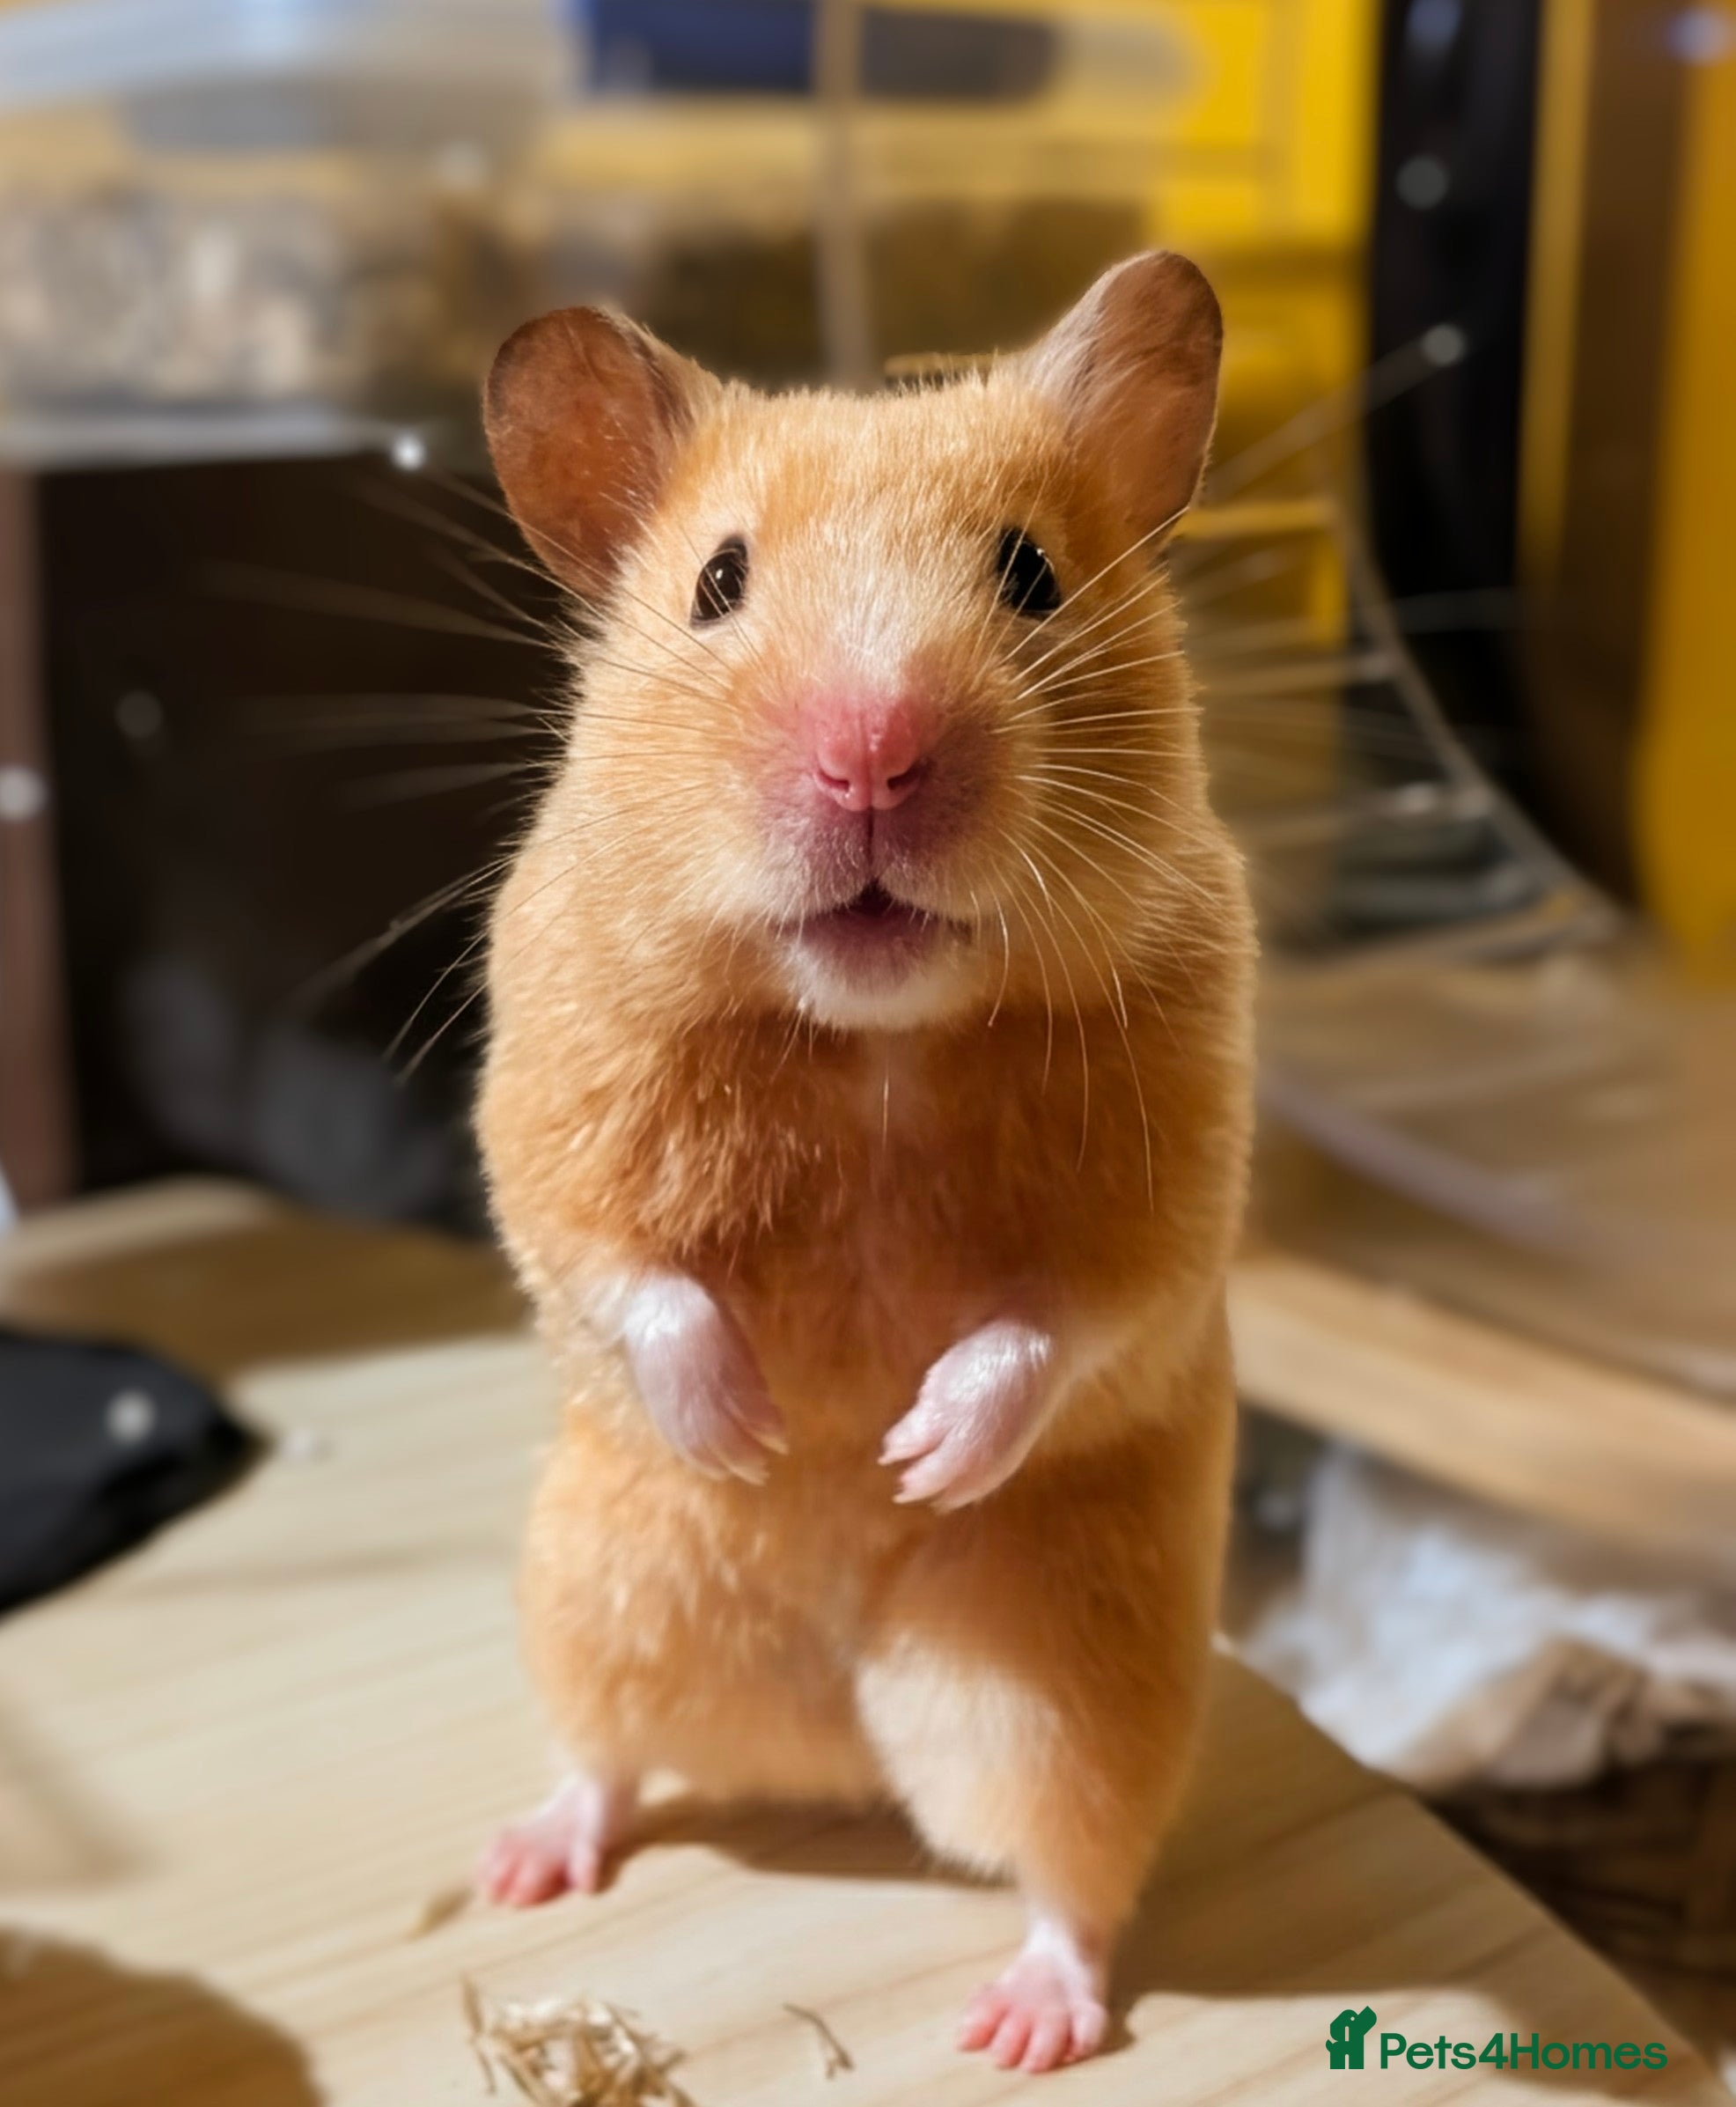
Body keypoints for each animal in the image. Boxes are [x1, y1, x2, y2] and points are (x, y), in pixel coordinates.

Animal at [473, 252, 1255, 2076]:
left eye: (1030, 572)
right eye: (717, 581)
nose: (872, 754)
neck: (872, 1033)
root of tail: (831, 1742)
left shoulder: (1177, 1182)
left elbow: (1064, 1316)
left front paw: (909, 1449)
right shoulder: (547, 1108)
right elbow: (625, 1268)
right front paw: (760, 1426)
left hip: (1065, 1680)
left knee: (1070, 1870)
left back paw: (1025, 2024)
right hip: (599, 1589)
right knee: (606, 1756)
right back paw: (523, 1862)